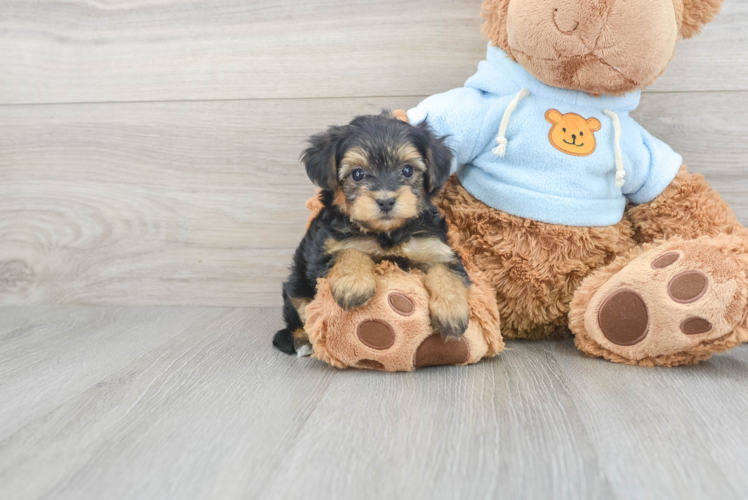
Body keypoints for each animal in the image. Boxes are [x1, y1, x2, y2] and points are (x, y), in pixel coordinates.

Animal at [274, 112, 470, 356]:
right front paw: (353, 285)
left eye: (407, 170)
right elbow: (349, 251)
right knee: (300, 308)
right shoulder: (324, 254)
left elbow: (447, 271)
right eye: (358, 174)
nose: (386, 201)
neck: (386, 233)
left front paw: (452, 312)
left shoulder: (435, 247)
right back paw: (303, 340)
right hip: (297, 282)